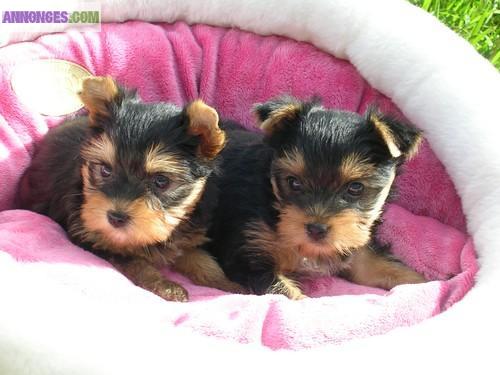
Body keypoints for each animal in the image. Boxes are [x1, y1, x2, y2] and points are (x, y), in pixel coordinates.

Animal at [19, 77, 238, 302]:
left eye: (161, 181)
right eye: (105, 170)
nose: (115, 217)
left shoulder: (187, 235)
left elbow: (201, 258)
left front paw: (228, 284)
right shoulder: (97, 240)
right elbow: (136, 262)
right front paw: (166, 286)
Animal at [203, 97, 426, 300]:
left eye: (355, 187)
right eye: (294, 182)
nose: (316, 229)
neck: (272, 201)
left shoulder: (353, 244)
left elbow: (380, 266)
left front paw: (423, 283)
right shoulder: (248, 252)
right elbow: (283, 291)